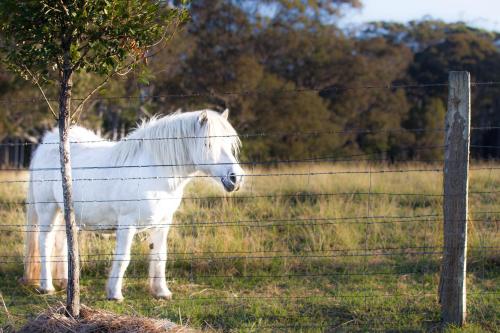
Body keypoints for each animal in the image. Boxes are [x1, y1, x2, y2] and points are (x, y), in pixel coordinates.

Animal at [23, 108, 242, 298]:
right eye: (208, 144)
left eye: (230, 144)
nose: (236, 178)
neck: (155, 170)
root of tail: (47, 142)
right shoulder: (127, 224)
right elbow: (123, 258)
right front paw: (114, 294)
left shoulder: (163, 223)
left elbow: (160, 255)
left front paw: (161, 292)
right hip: (47, 209)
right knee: (45, 242)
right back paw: (47, 287)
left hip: (65, 212)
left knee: (62, 242)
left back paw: (65, 282)